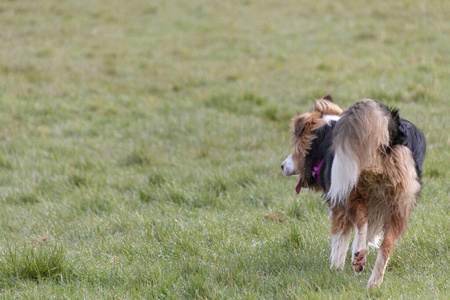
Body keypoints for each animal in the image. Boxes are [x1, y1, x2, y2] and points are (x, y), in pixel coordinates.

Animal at [282, 95, 426, 288]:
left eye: (294, 146)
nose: (282, 166)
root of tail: (391, 131)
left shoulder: (338, 203)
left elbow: (339, 240)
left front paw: (335, 268)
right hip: (399, 203)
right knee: (386, 245)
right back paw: (373, 282)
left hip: (352, 191)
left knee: (361, 221)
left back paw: (358, 255)